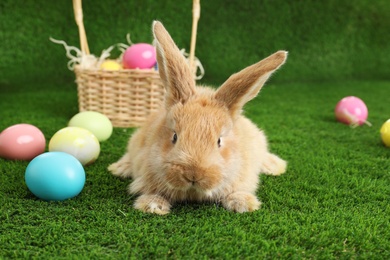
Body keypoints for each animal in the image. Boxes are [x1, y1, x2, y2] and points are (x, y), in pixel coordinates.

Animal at [108, 20, 288, 215]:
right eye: (174, 137)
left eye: (219, 141)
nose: (193, 174)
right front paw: (152, 206)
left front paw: (243, 204)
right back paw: (120, 168)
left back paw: (275, 166)